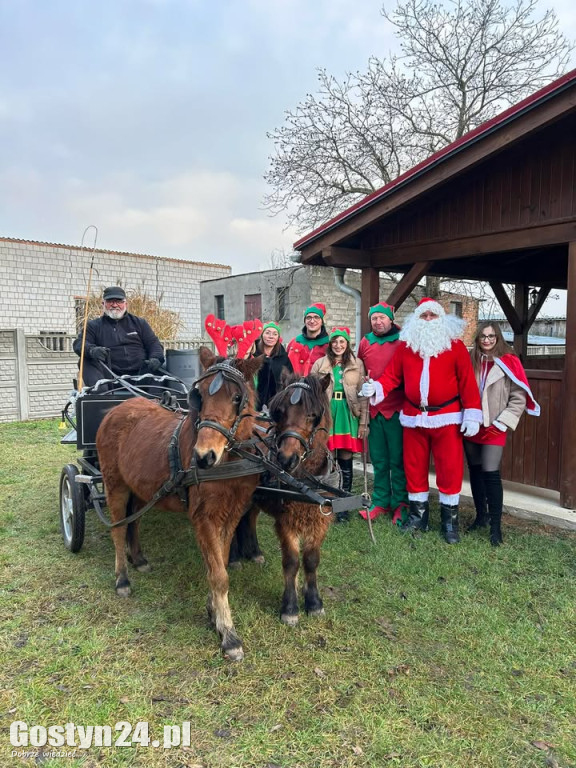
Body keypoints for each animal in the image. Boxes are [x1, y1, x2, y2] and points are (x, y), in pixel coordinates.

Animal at [96, 348, 260, 660]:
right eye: (201, 395)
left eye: (237, 397)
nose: (204, 456)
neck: (227, 462)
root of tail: (114, 409)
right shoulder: (203, 518)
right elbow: (218, 574)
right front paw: (228, 634)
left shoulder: (231, 515)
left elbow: (219, 561)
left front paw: (214, 613)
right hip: (114, 484)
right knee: (118, 529)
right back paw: (122, 579)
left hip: (141, 488)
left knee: (134, 521)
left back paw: (139, 559)